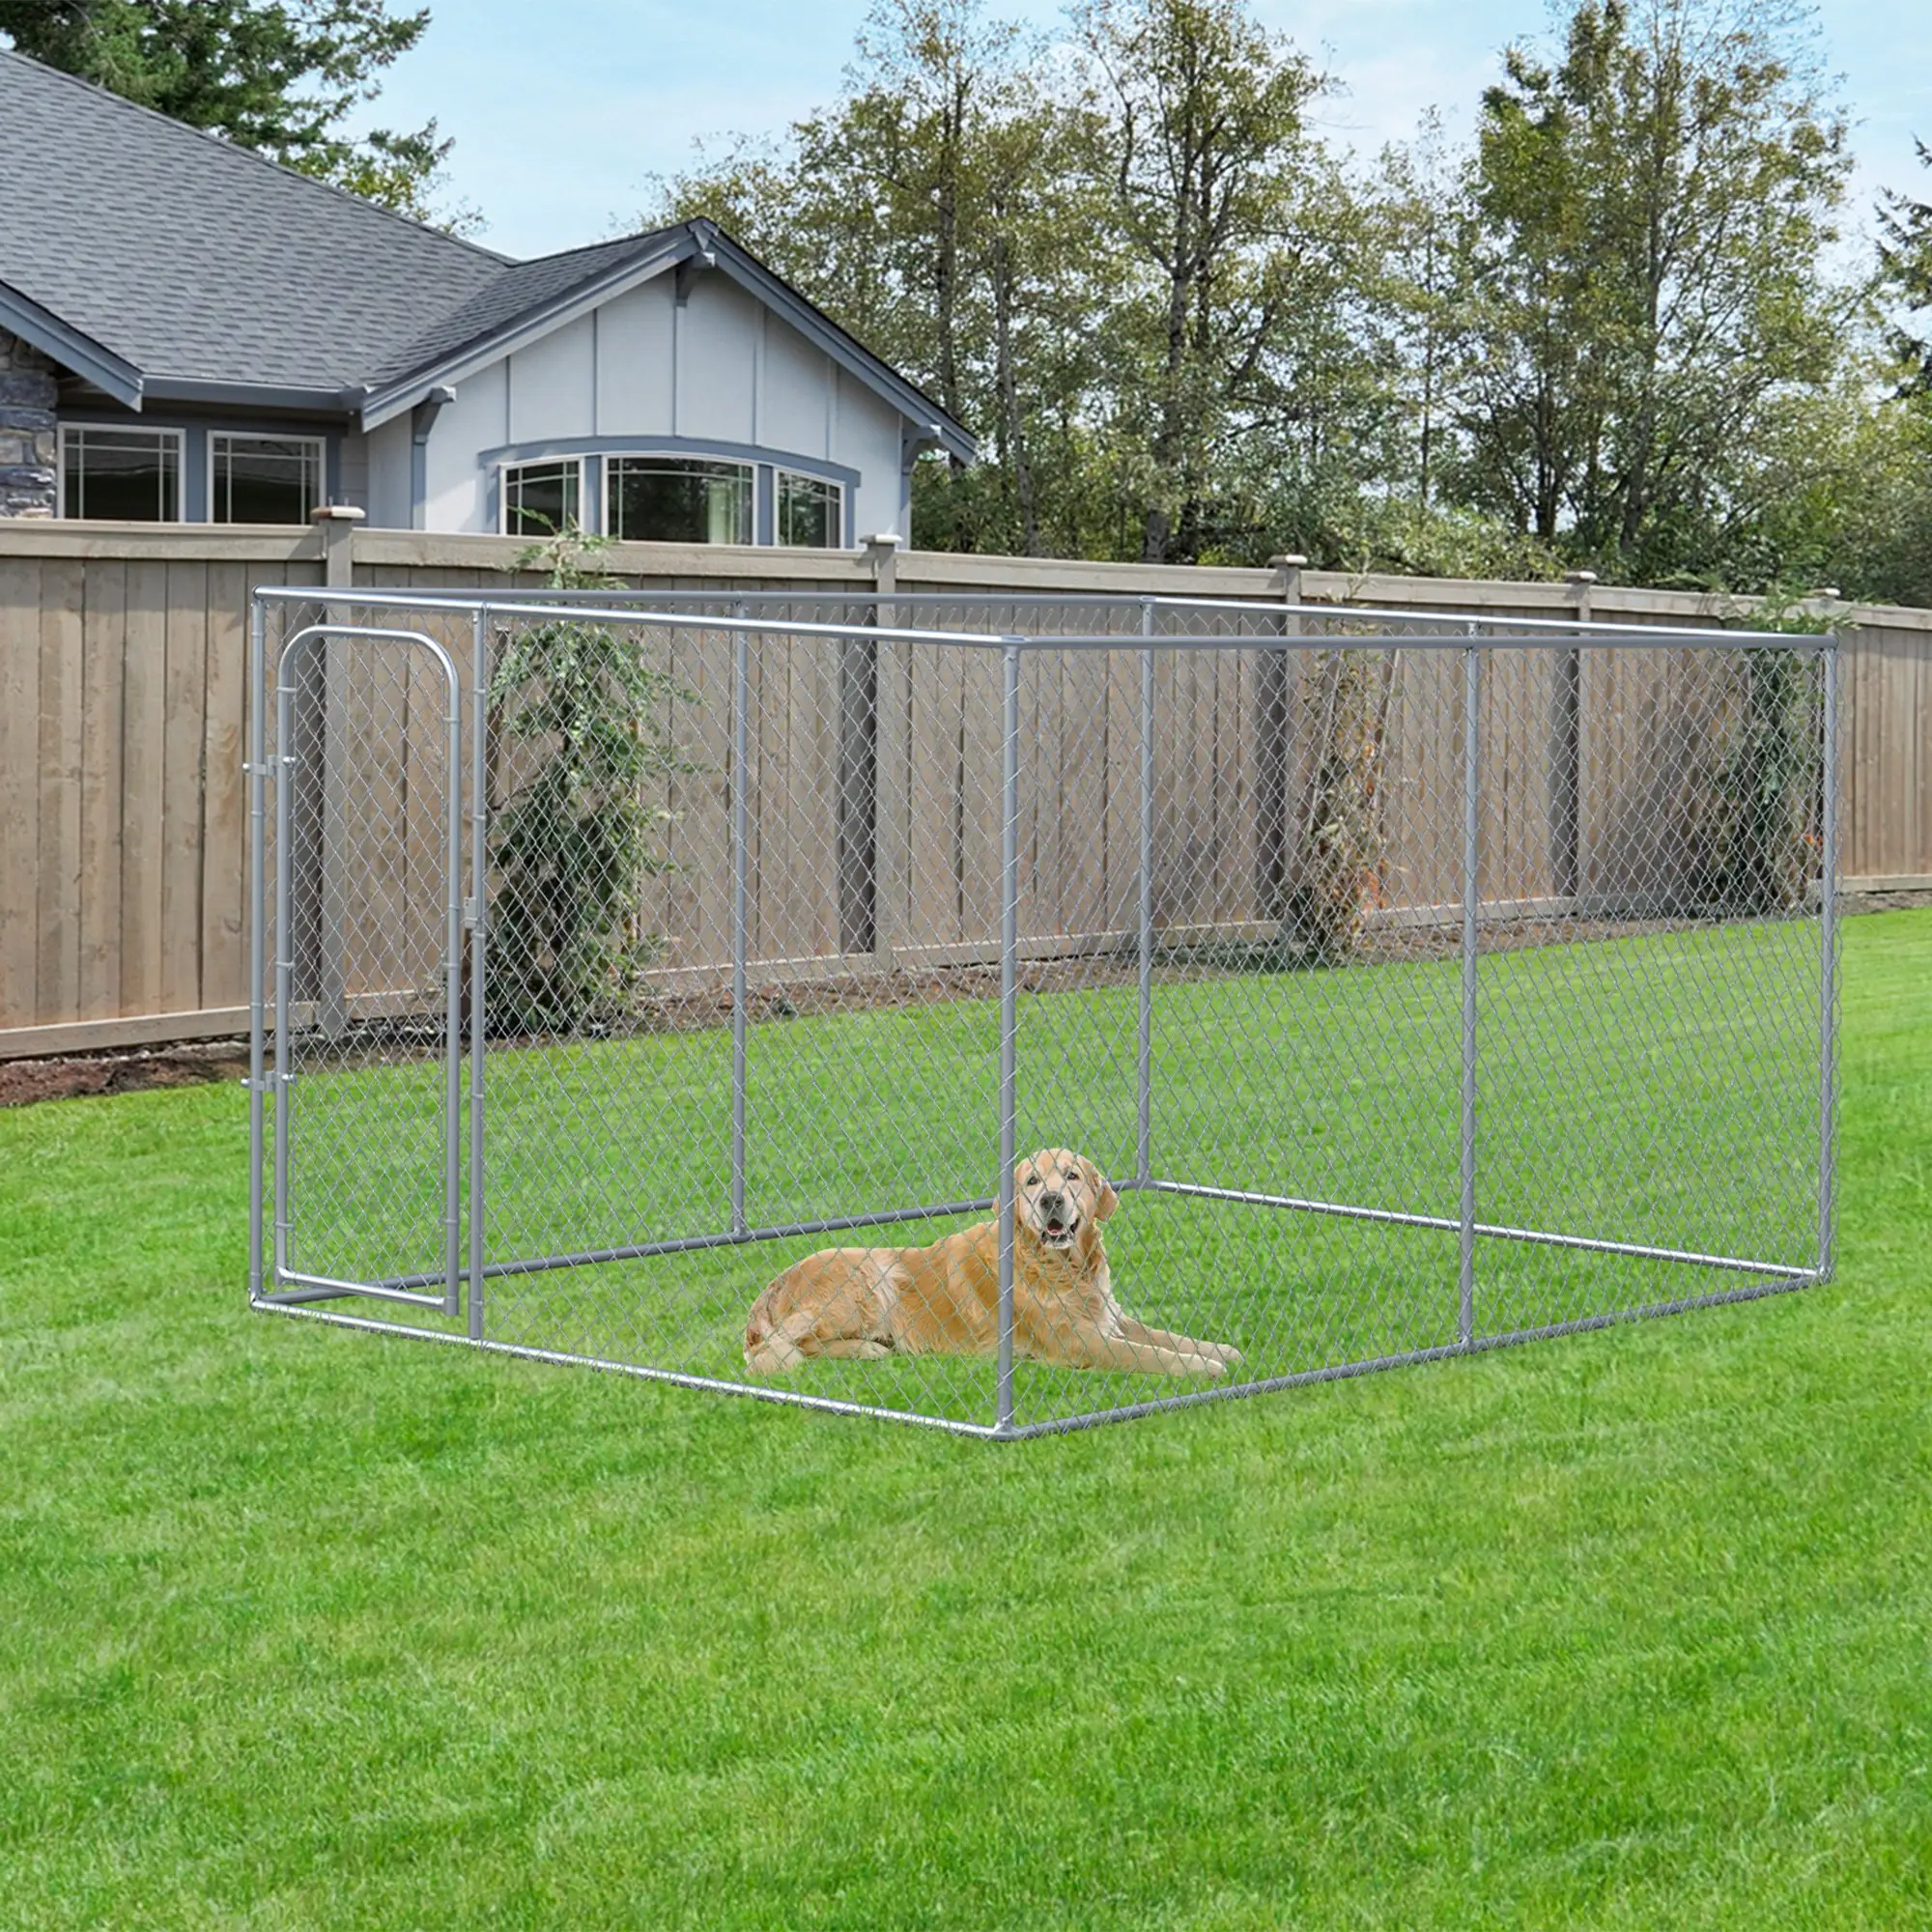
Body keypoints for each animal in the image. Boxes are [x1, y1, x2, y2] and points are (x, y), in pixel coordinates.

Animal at [738, 1144, 1236, 1376]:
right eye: (1032, 1181)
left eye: (1071, 1176)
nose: (1051, 1200)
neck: (1062, 1268)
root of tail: (767, 1293)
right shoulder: (1080, 1342)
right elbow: (1152, 1355)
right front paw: (1205, 1368)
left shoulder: (1109, 1319)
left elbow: (1167, 1337)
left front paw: (1222, 1350)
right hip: (869, 1277)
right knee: (783, 1347)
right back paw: (866, 1349)